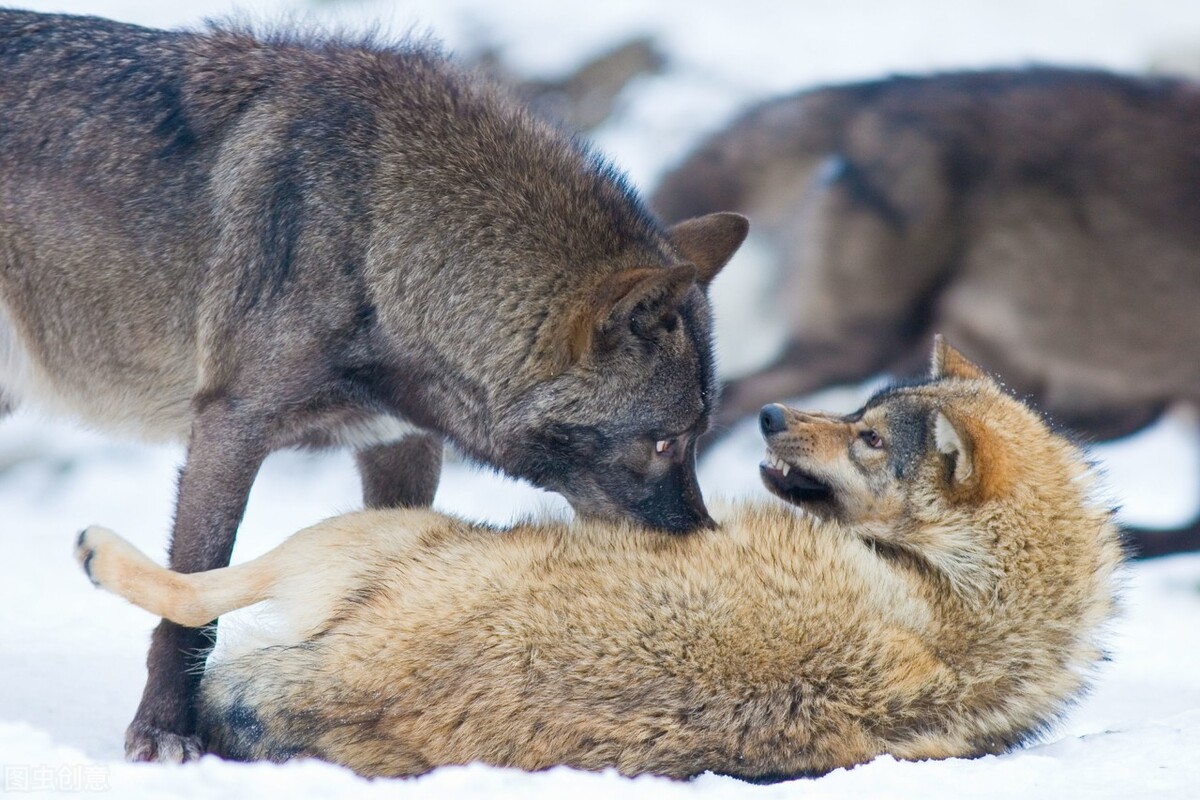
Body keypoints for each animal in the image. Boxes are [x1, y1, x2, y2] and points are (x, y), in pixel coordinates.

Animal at [2, 10, 748, 762]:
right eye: (662, 442)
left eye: (695, 438)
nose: (706, 543)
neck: (379, 242)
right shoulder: (230, 426)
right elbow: (194, 602)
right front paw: (163, 732)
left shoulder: (402, 446)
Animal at [75, 338, 1123, 782]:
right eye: (858, 411)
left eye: (868, 438)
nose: (770, 415)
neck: (975, 596)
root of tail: (356, 685)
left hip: (375, 535)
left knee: (195, 595)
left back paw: (98, 551)